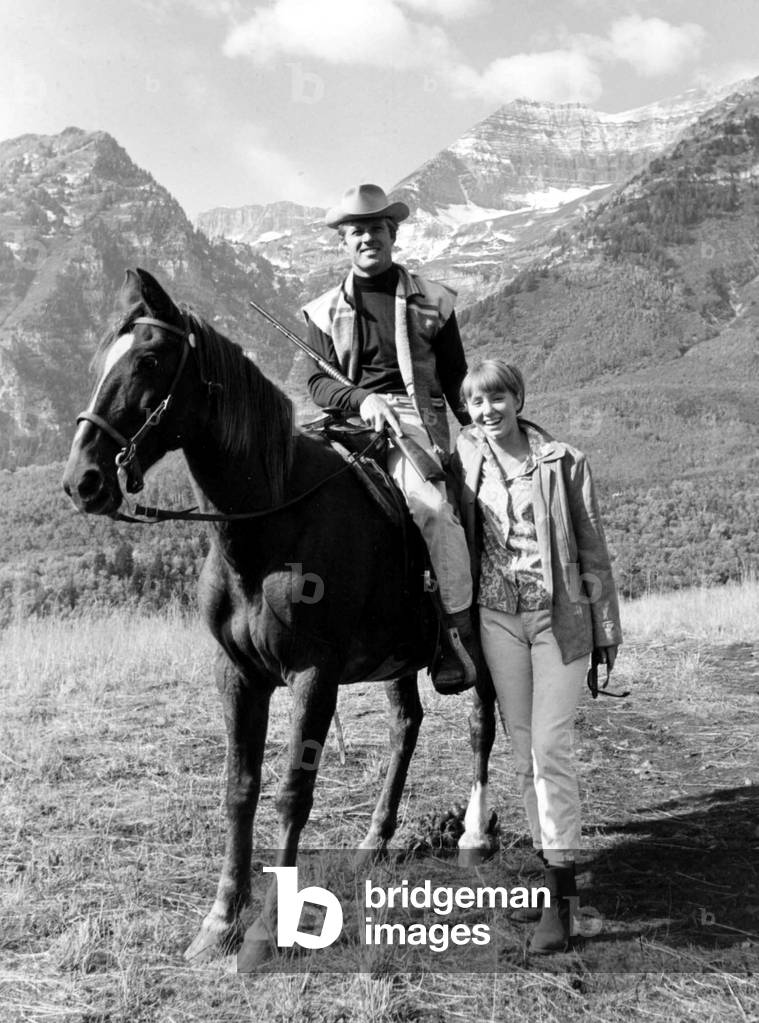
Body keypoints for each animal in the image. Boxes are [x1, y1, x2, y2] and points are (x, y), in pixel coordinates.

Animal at [62, 270, 497, 965]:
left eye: (149, 361)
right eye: (100, 362)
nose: (83, 480)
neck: (271, 520)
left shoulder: (313, 676)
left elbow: (293, 791)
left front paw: (268, 929)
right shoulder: (238, 674)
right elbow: (240, 789)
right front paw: (219, 921)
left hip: (480, 635)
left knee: (482, 721)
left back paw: (476, 836)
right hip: (399, 658)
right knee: (406, 726)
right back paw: (374, 841)